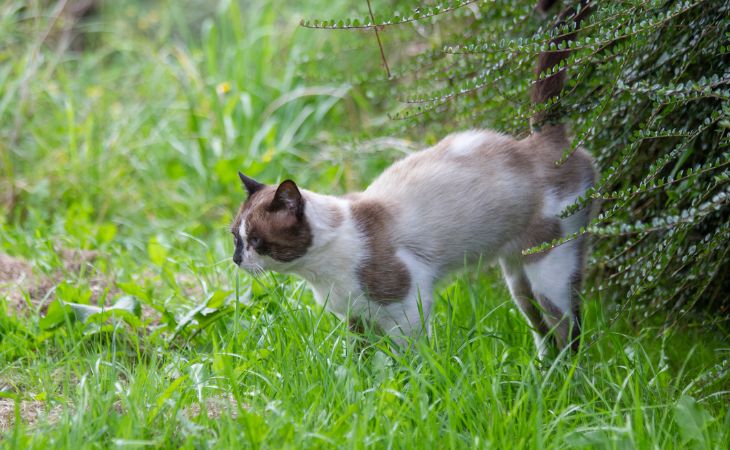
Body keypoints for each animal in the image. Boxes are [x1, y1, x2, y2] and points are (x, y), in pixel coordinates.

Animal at [230, 1, 596, 356]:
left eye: (257, 242)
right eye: (236, 238)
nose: (237, 259)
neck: (318, 270)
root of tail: (542, 138)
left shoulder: (406, 308)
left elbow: (408, 364)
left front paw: (409, 377)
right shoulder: (358, 320)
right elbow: (363, 364)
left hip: (549, 269)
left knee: (568, 329)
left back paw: (569, 373)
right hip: (517, 279)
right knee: (541, 330)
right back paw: (544, 370)